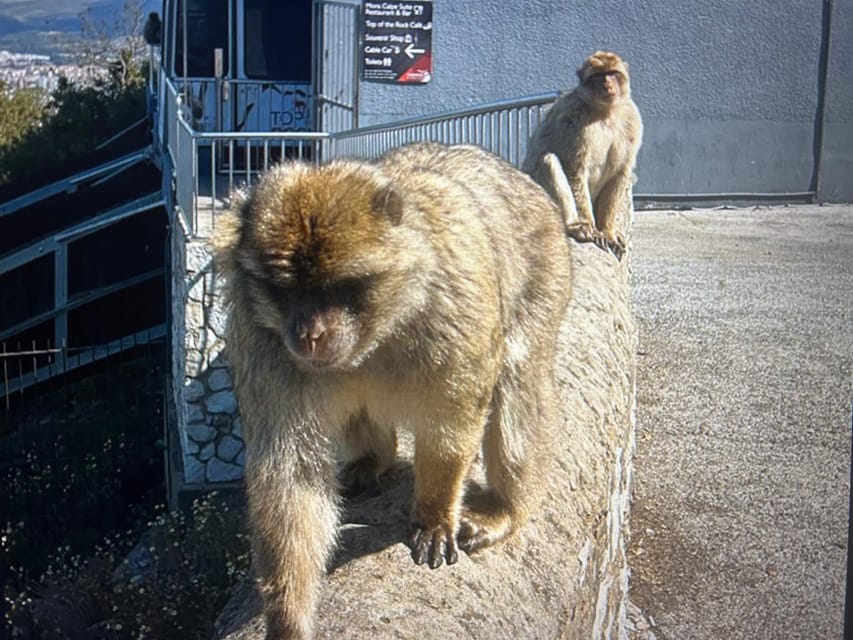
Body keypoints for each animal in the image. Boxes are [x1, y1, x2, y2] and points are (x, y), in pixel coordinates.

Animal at [215, 143, 572, 639]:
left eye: (337, 288)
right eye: (285, 291)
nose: (308, 334)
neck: (382, 325)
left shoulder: (454, 308)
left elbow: (452, 416)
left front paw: (435, 514)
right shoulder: (260, 338)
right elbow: (289, 473)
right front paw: (287, 619)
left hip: (546, 273)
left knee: (519, 381)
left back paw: (507, 509)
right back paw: (372, 460)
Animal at [522, 50, 643, 259]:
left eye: (612, 73)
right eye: (598, 76)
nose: (607, 84)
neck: (605, 112)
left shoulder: (632, 120)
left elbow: (620, 174)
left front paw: (608, 232)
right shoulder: (574, 119)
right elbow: (574, 171)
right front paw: (590, 227)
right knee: (548, 160)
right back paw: (574, 226)